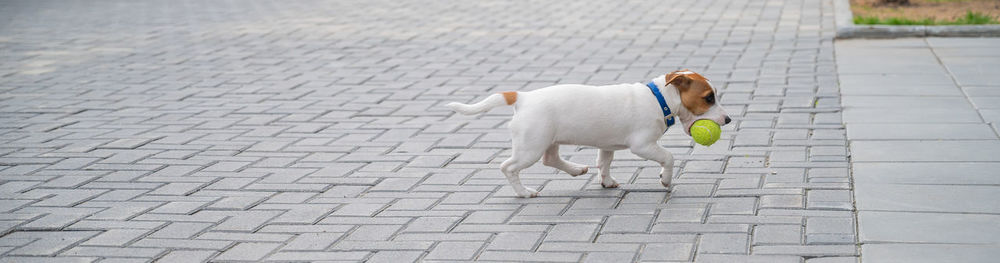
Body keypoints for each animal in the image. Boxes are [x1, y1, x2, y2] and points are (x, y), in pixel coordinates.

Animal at [450, 70, 732, 198]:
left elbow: (604, 163)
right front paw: (665, 179)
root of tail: (523, 97)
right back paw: (524, 192)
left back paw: (576, 170)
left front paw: (606, 181)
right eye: (708, 98)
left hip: (548, 140)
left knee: (551, 159)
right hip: (531, 146)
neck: (659, 98)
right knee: (508, 167)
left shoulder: (607, 145)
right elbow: (669, 157)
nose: (728, 120)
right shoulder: (643, 145)